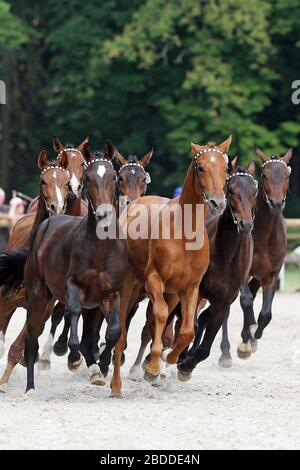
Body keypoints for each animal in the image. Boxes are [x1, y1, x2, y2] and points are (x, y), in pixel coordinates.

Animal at [109, 136, 231, 396]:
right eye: (200, 167)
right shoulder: (153, 280)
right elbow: (161, 314)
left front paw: (169, 359)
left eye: (226, 169)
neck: (184, 233)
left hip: (172, 293)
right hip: (129, 287)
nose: (217, 202)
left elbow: (187, 330)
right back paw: (116, 385)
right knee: (123, 332)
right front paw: (154, 366)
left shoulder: (190, 288)